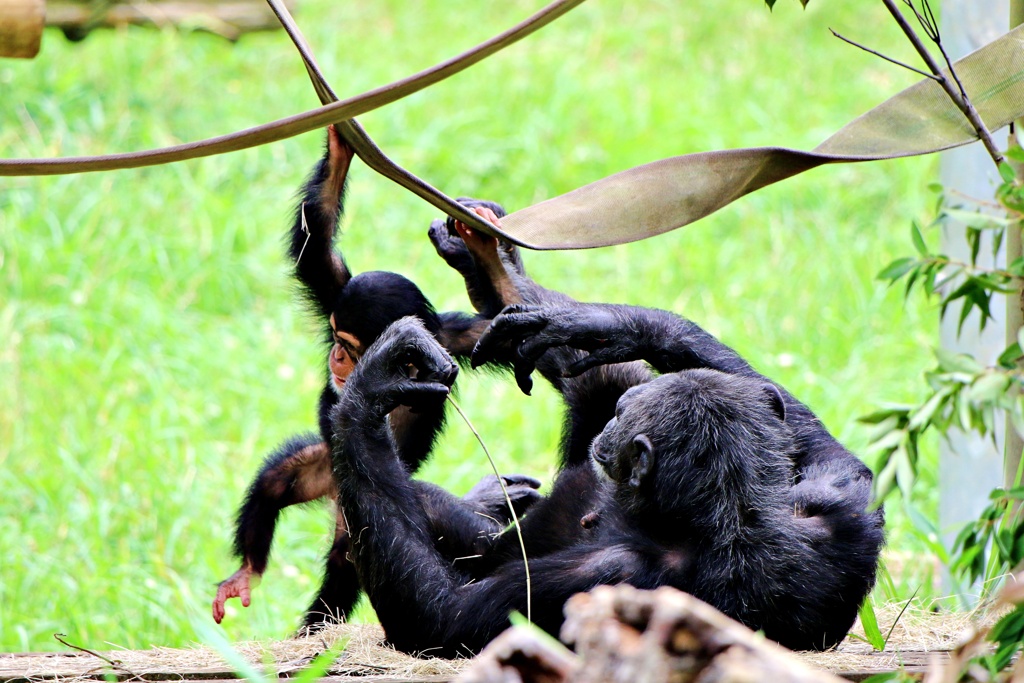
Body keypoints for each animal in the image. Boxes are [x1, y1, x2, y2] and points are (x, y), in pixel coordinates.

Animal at [211, 126, 540, 630]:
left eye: (348, 346)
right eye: (334, 337)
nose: (336, 359)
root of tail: (333, 496)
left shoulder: (455, 339)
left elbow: (514, 330)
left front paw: (486, 246)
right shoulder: (336, 289)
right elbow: (316, 246)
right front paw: (340, 148)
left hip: (350, 511)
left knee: (348, 560)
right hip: (322, 467)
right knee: (275, 481)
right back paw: (247, 572)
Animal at [331, 305, 884, 655]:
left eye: (624, 416)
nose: (615, 417)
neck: (730, 516)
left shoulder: (607, 575)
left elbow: (439, 621)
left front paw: (373, 385)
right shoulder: (836, 509)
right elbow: (835, 455)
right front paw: (606, 326)